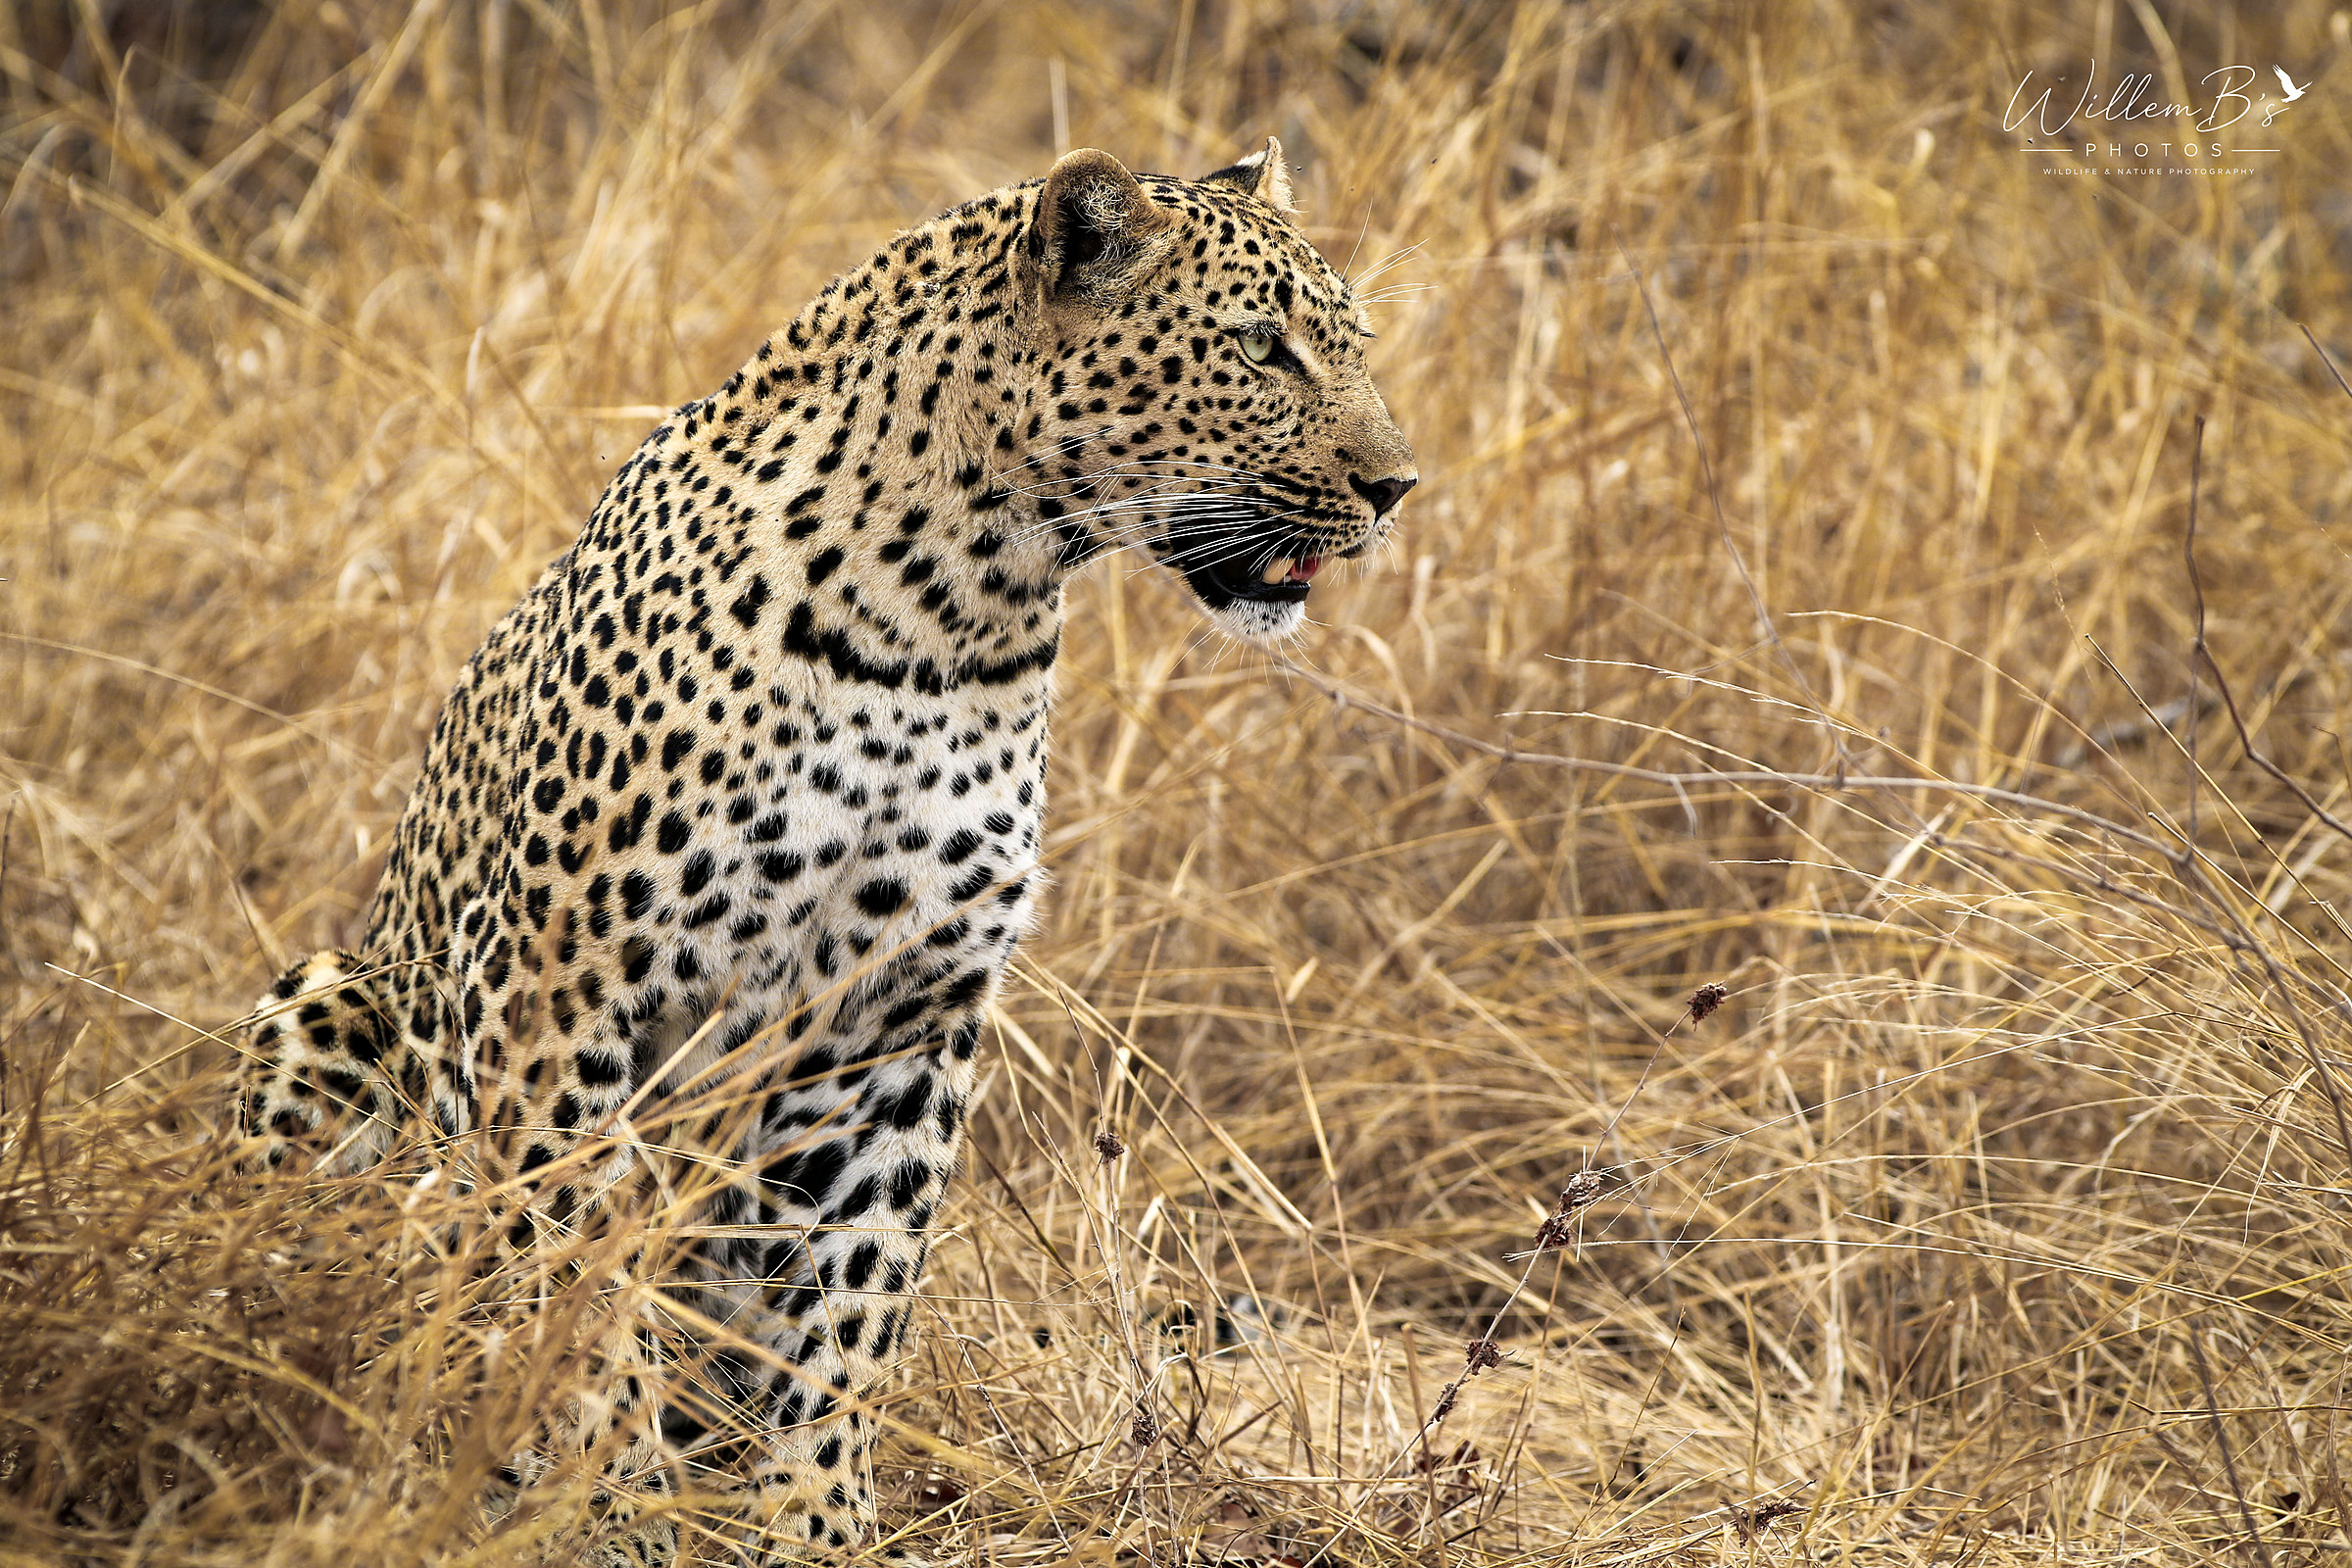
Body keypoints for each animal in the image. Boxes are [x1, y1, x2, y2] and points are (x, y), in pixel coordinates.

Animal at [234, 138, 1414, 1562]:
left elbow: (855, 1294)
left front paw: (815, 1519)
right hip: (320, 1003)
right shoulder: (555, 991)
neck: (956, 614)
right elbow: (581, 1273)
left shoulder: (899, 1019)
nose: (1398, 489)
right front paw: (615, 1508)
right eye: (1260, 347)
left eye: (1349, 345)